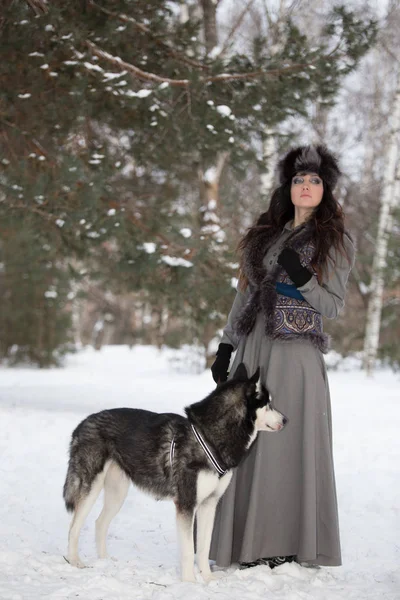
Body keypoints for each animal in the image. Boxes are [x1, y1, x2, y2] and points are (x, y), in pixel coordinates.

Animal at [63, 364, 288, 584]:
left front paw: (208, 579)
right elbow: (189, 550)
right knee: (73, 526)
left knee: (100, 523)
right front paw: (189, 583)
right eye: (268, 403)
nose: (286, 420)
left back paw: (105, 561)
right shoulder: (186, 505)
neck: (209, 438)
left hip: (118, 493)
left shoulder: (209, 504)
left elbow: (204, 548)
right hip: (91, 488)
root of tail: (82, 424)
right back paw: (75, 561)